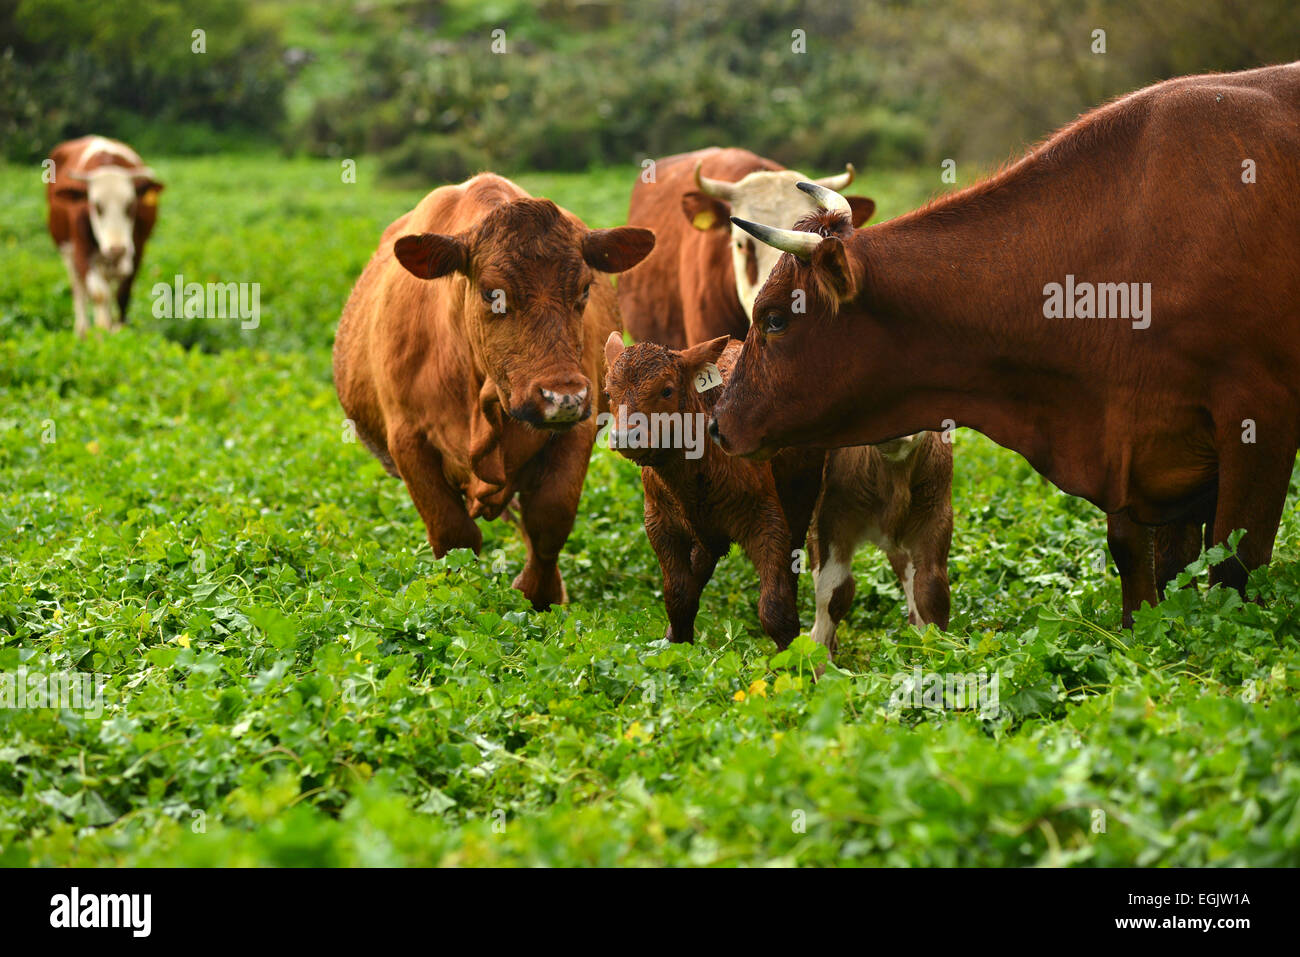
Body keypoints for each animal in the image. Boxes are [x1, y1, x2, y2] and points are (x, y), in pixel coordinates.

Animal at [45, 136, 163, 337]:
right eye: (96, 205)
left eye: (130, 204)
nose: (117, 249)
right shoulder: (81, 252)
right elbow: (99, 294)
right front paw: (101, 335)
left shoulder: (137, 250)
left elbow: (122, 294)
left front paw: (119, 333)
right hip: (68, 253)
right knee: (79, 289)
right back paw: (82, 331)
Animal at [333, 173, 654, 610]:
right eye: (492, 294)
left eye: (585, 289)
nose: (562, 396)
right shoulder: (407, 439)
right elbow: (453, 534)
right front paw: (457, 594)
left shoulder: (576, 431)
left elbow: (549, 520)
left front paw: (540, 596)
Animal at [709, 63, 1300, 627]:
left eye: (776, 319)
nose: (717, 424)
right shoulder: (1130, 443)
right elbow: (1142, 566)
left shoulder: (1259, 423)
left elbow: (1232, 568)